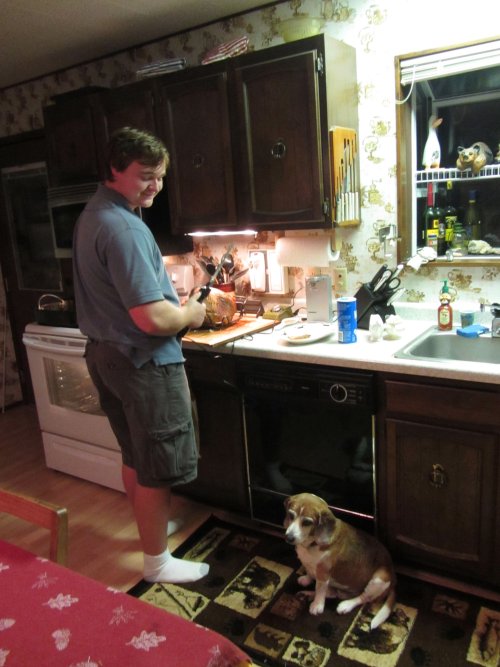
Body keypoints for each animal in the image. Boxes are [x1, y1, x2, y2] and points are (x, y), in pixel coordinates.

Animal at [286, 490, 394, 632]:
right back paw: (306, 594)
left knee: (363, 598)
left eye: (307, 522)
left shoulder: (323, 574)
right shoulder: (309, 565)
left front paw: (317, 605)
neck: (312, 543)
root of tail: (394, 578)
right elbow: (310, 573)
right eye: (290, 515)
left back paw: (345, 605)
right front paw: (306, 579)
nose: (288, 537)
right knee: (333, 593)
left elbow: (320, 589)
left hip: (379, 579)